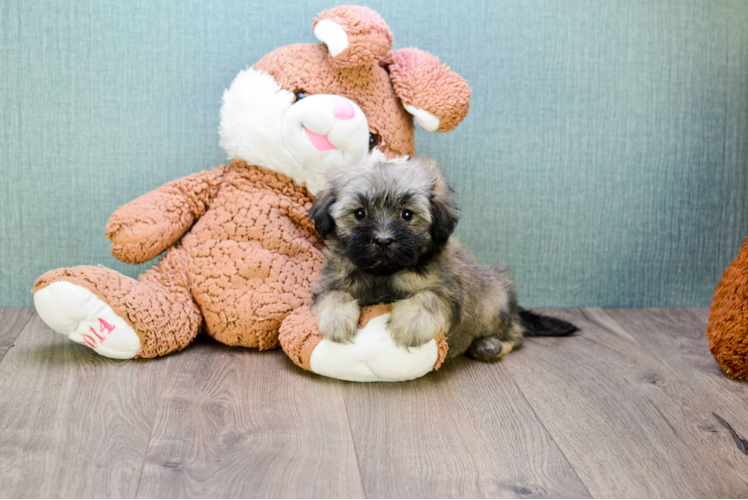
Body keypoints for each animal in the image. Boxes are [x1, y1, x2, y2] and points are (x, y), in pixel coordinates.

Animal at [306, 156, 576, 360]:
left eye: (407, 215)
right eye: (360, 213)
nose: (383, 240)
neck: (385, 273)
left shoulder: (450, 293)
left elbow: (428, 298)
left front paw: (412, 322)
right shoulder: (330, 282)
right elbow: (333, 295)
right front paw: (336, 319)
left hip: (496, 306)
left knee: (516, 336)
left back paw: (489, 345)